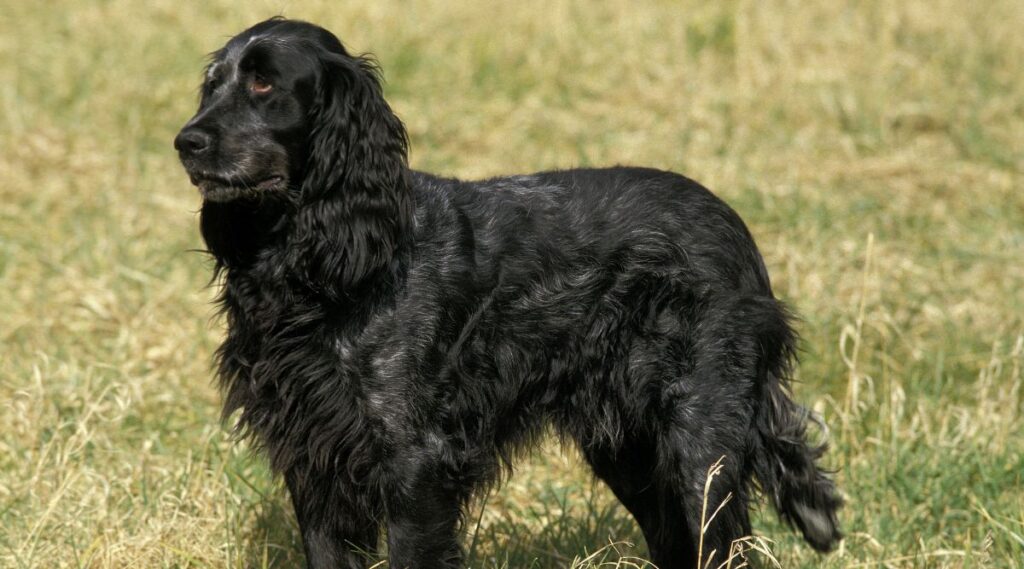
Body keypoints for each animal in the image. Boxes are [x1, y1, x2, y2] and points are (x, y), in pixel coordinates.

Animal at [174, 17, 839, 569]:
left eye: (264, 84)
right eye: (213, 85)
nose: (185, 142)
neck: (333, 265)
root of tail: (737, 231)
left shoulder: (414, 462)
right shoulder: (314, 456)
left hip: (699, 442)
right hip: (631, 448)